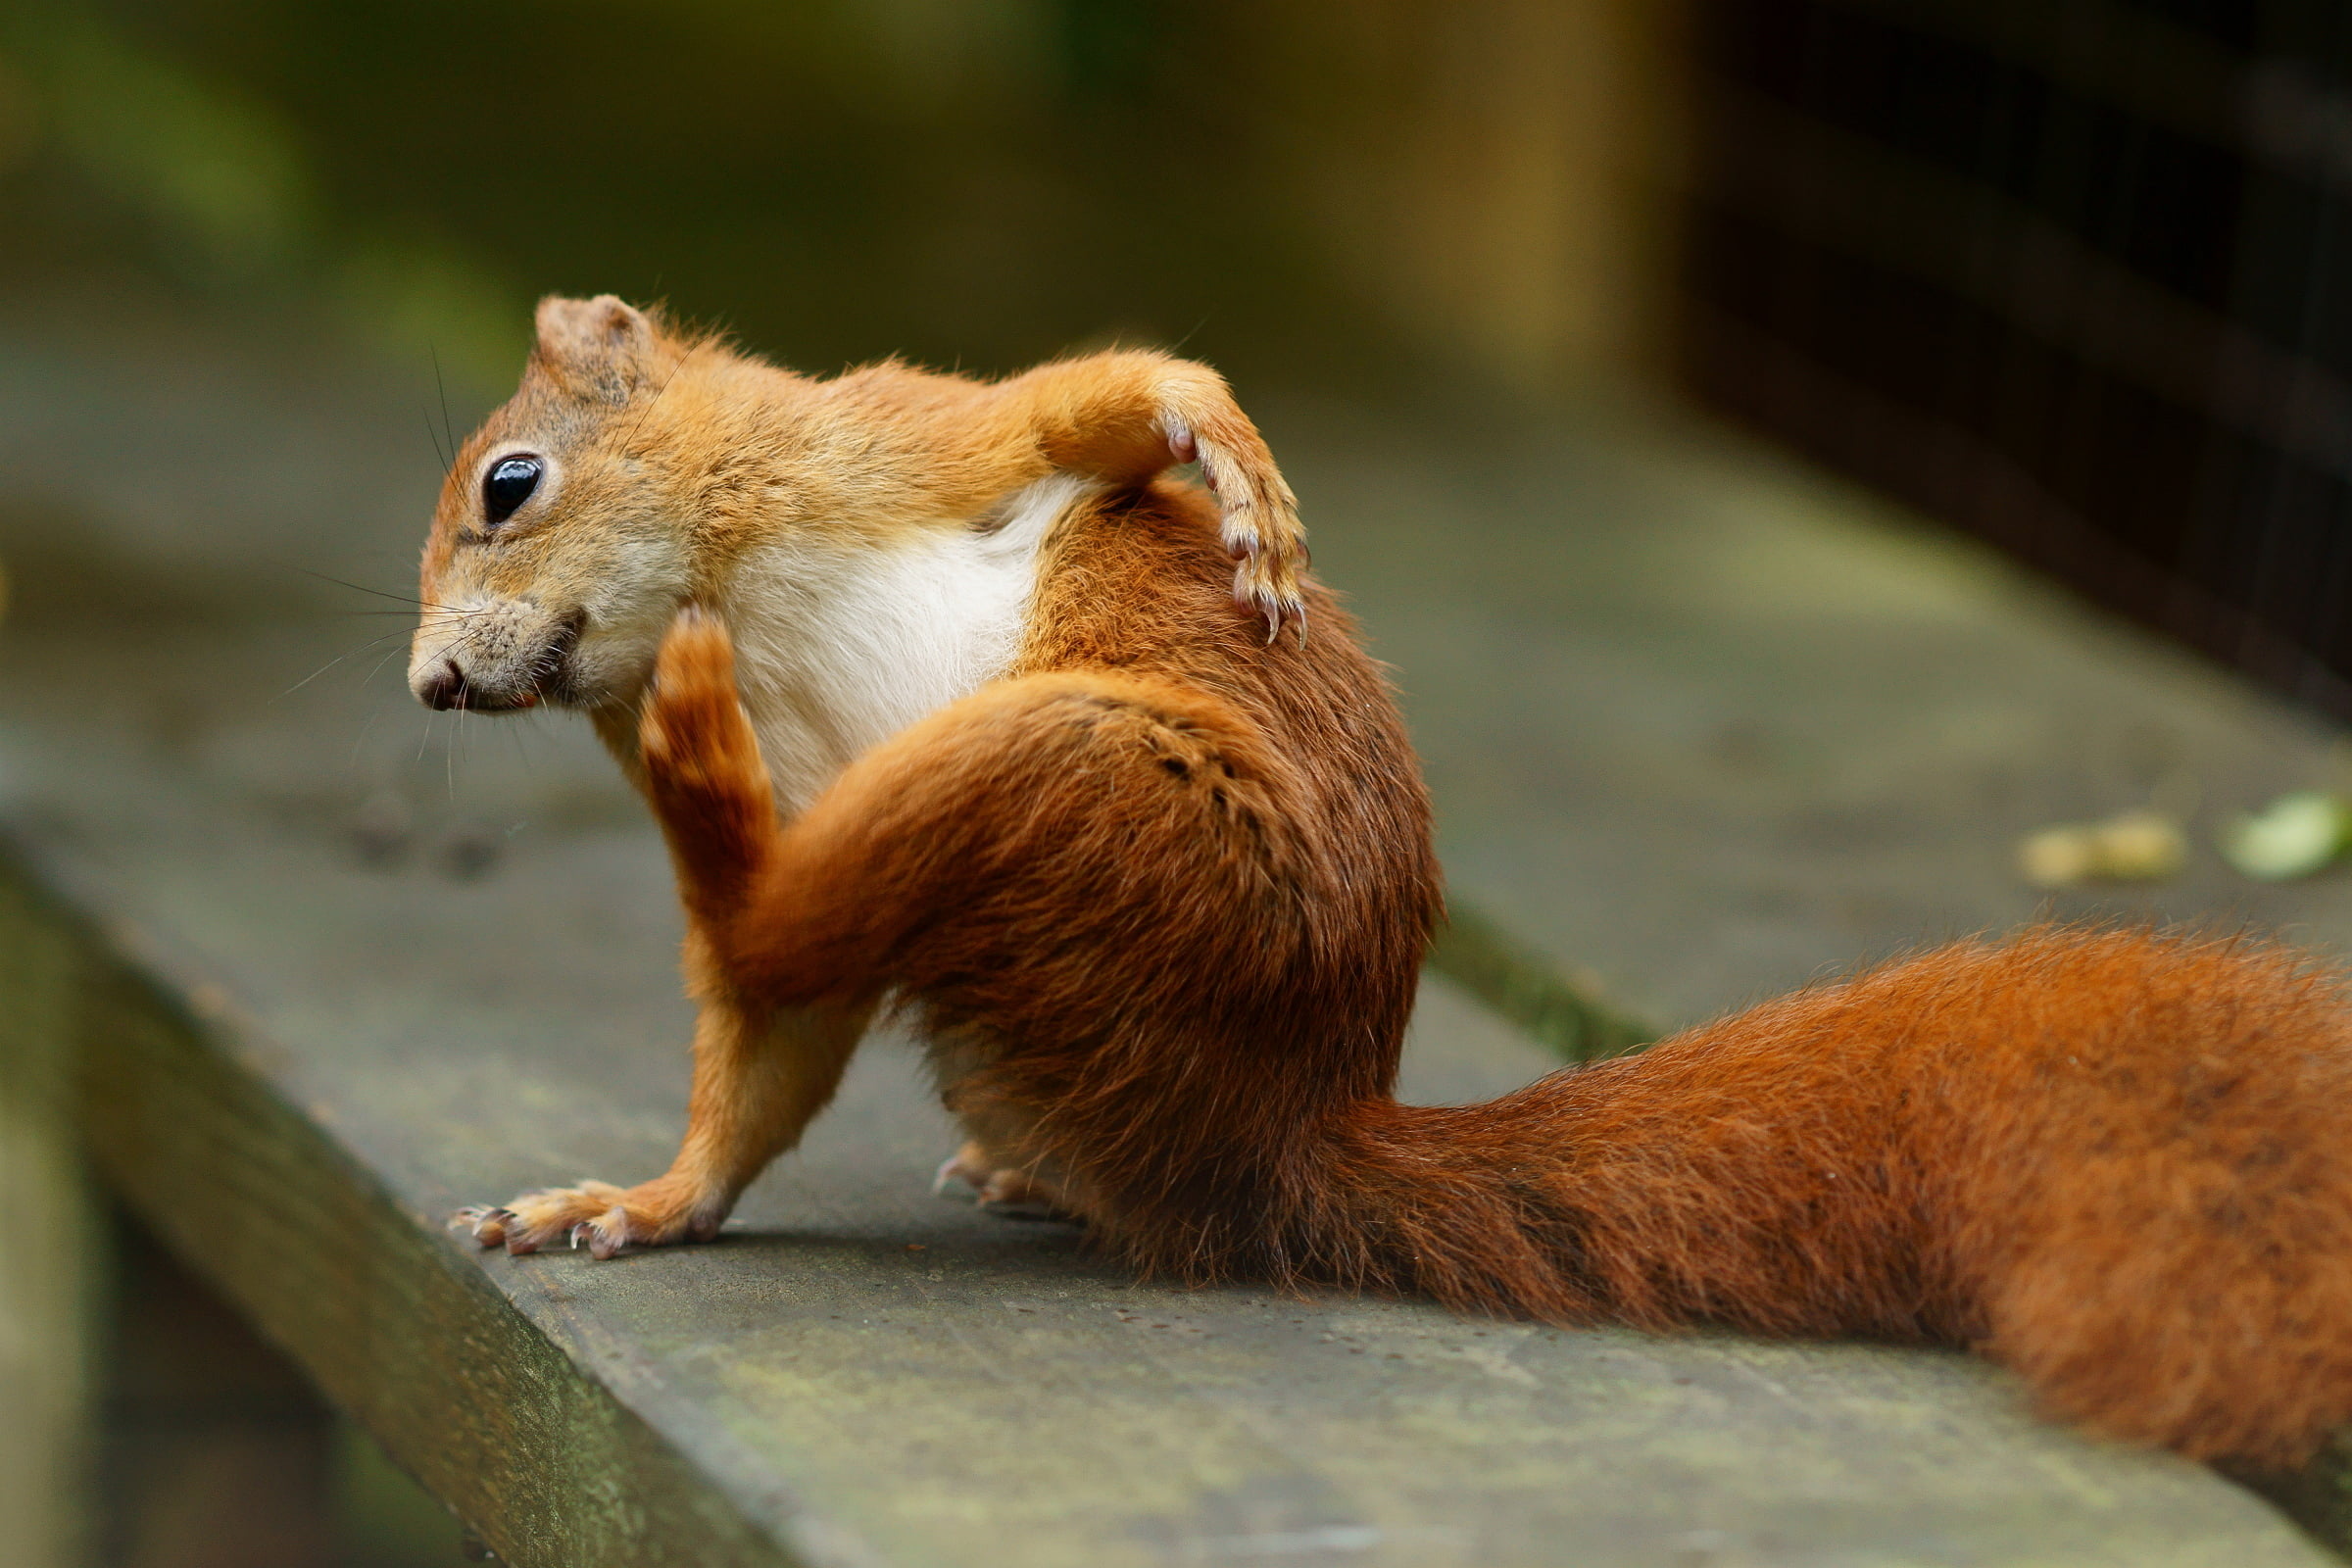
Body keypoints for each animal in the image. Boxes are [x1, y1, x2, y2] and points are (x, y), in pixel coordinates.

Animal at [413, 295, 2352, 1471]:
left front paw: (1221, 448)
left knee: (775, 912)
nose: (430, 687)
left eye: (510, 481)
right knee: (790, 943)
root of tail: (1283, 1125)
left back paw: (702, 766)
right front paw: (655, 1202)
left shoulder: (891, 447)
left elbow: (1077, 407)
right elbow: (767, 1057)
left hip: (1089, 782)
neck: (724, 601)